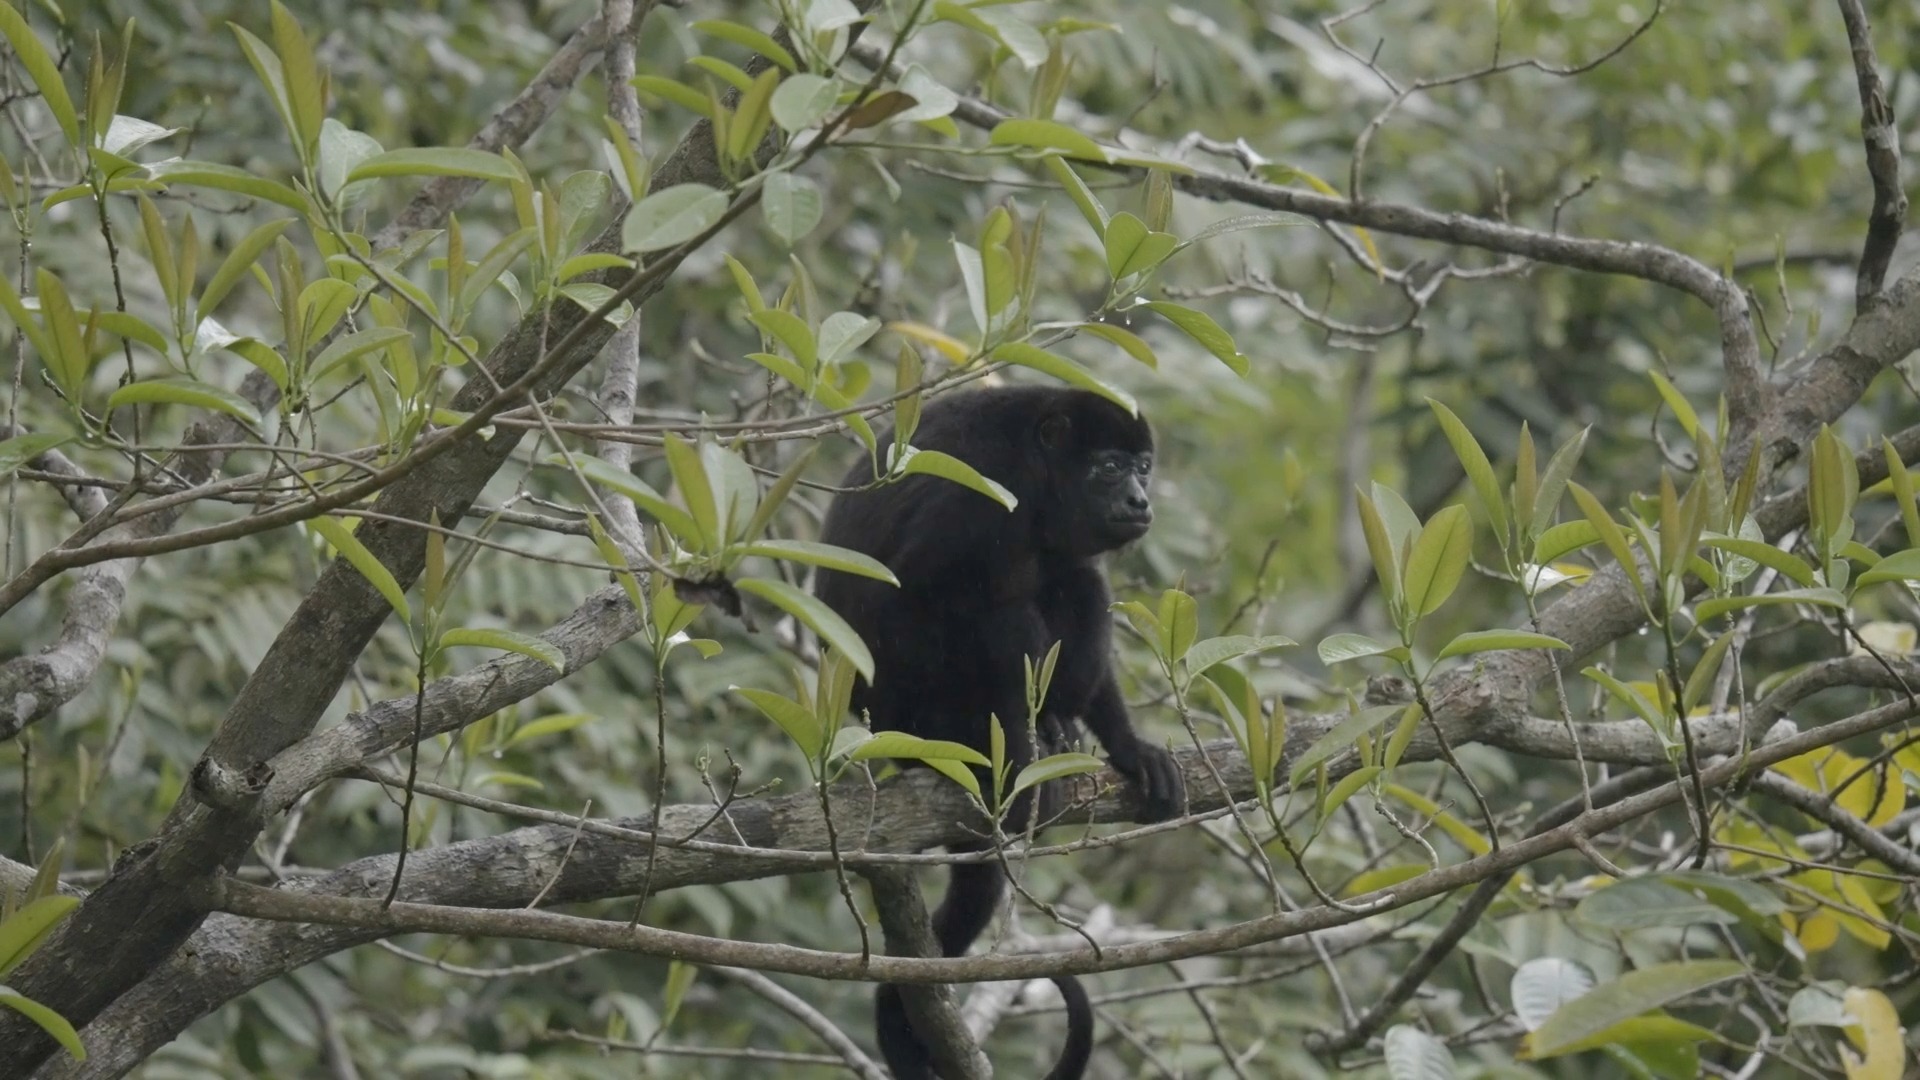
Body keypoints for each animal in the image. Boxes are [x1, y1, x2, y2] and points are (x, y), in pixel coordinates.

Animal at [813, 384, 1187, 1079]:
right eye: (1109, 468)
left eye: (1144, 469)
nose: (1140, 500)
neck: (1038, 478)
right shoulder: (981, 492)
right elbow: (933, 590)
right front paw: (1015, 764)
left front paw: (1130, 746)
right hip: (913, 710)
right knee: (998, 612)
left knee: (1080, 581)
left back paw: (1060, 727)